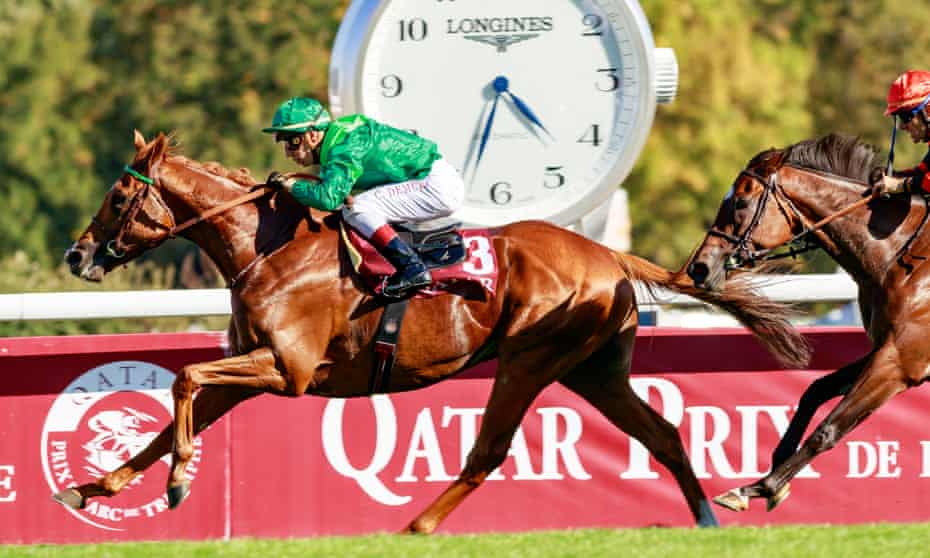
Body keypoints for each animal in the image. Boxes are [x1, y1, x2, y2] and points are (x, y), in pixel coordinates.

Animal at [57, 130, 807, 532]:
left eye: (119, 197)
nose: (76, 255)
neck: (269, 247)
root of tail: (607, 255)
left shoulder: (287, 370)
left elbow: (182, 379)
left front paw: (177, 483)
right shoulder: (253, 366)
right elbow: (172, 415)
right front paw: (96, 487)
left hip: (531, 358)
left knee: (488, 451)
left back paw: (415, 525)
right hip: (593, 370)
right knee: (663, 433)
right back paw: (706, 518)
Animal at [686, 132, 930, 512]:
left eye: (740, 202)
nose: (699, 267)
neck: (899, 254)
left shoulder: (900, 363)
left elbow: (827, 429)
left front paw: (762, 487)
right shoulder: (884, 348)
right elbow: (815, 389)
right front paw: (773, 470)